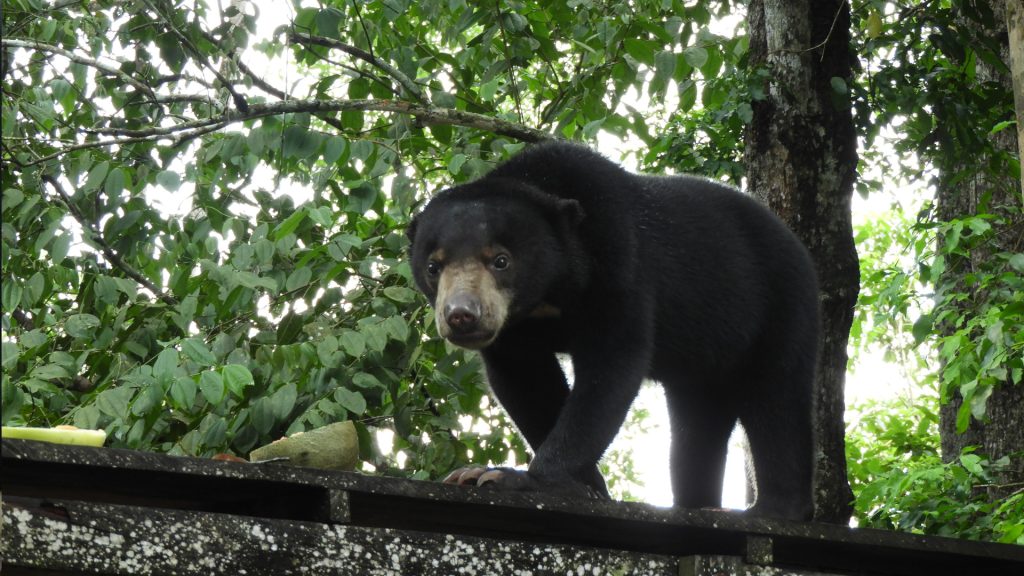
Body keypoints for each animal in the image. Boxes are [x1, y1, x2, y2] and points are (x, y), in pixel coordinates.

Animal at [405, 141, 815, 518]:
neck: (547, 296)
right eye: (433, 266)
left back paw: (771, 510)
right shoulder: (515, 330)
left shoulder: (620, 266)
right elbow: (527, 380)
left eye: (501, 260)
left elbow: (611, 369)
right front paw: (584, 486)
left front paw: (515, 479)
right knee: (698, 421)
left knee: (776, 400)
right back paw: (697, 503)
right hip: (704, 361)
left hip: (780, 306)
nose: (461, 316)